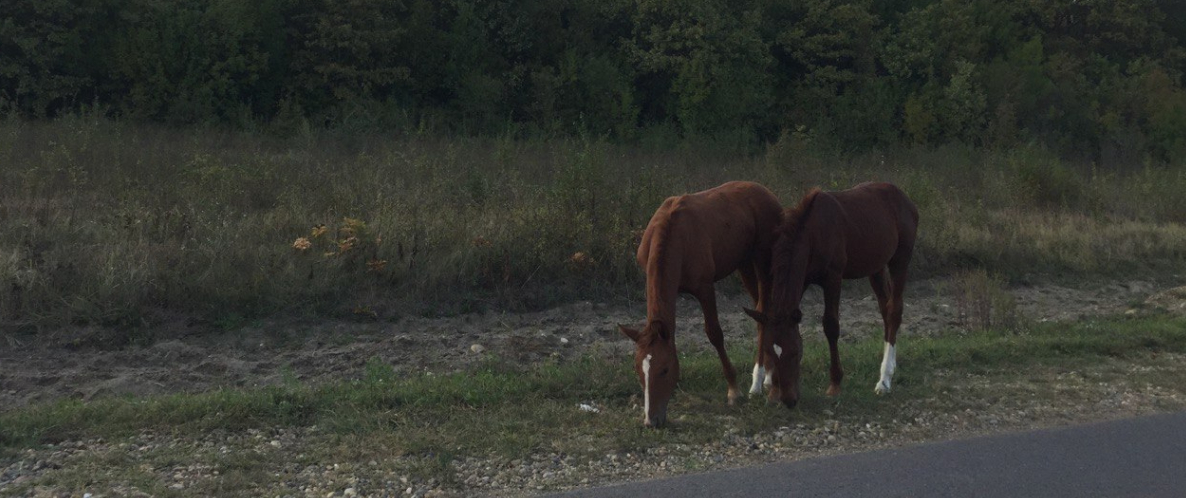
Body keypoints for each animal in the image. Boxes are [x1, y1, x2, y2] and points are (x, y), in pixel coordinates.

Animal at [616, 181, 782, 426]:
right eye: (638, 369)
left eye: (664, 370)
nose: (651, 421)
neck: (675, 235)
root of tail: (766, 192)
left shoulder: (704, 288)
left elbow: (714, 334)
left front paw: (734, 390)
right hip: (744, 263)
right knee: (762, 311)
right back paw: (769, 374)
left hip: (763, 260)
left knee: (763, 314)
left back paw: (758, 382)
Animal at [744, 182, 920, 407]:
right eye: (769, 352)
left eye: (795, 353)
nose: (788, 400)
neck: (812, 233)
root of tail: (904, 198)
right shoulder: (804, 279)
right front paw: (771, 390)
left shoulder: (833, 278)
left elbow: (831, 326)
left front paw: (835, 383)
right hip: (876, 267)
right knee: (885, 308)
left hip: (900, 259)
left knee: (894, 310)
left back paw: (884, 380)